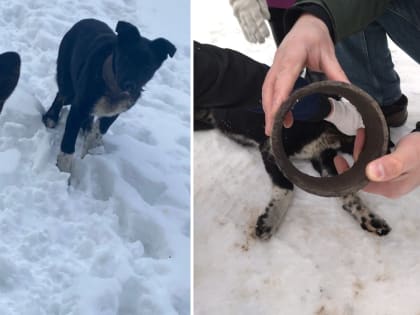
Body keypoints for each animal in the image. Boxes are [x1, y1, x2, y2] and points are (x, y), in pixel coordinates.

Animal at [44, 19, 177, 173]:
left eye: (148, 67)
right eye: (126, 58)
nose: (130, 86)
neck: (113, 90)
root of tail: (86, 20)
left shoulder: (114, 112)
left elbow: (98, 132)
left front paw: (92, 152)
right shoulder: (79, 107)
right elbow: (68, 142)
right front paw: (63, 170)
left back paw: (86, 127)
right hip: (68, 84)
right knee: (60, 95)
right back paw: (51, 117)